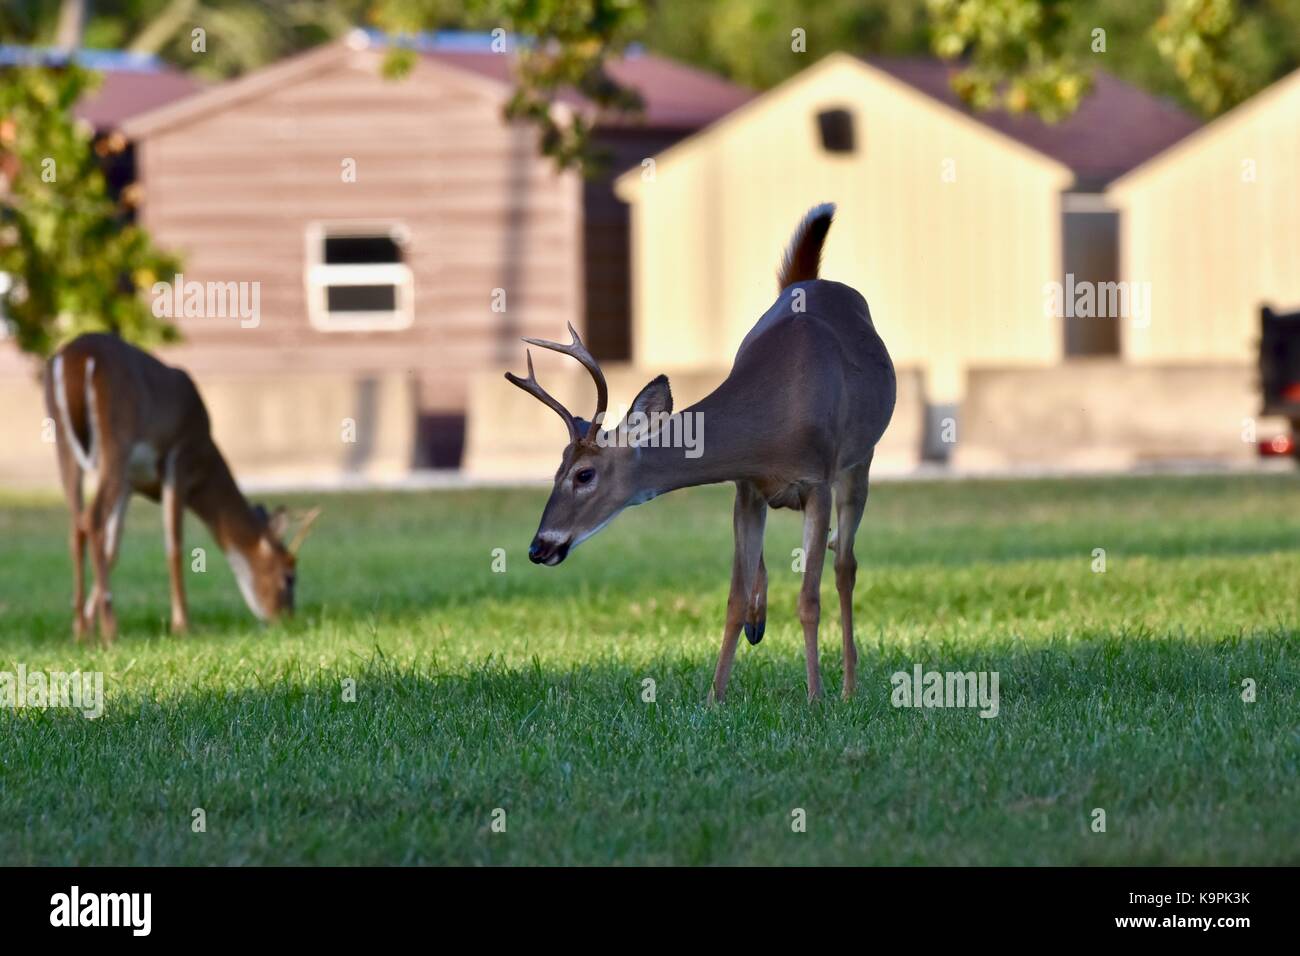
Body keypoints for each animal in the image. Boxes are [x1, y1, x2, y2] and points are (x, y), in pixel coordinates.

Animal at [46, 335, 322, 642]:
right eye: (289, 575)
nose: (285, 618)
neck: (205, 461)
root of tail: (78, 355)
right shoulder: (179, 457)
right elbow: (174, 544)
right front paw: (182, 626)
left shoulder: (131, 483)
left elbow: (113, 548)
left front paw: (85, 622)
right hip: (117, 435)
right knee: (91, 519)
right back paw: (110, 628)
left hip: (63, 440)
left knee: (77, 524)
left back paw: (81, 629)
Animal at [504, 204, 894, 702]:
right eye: (555, 470)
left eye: (584, 474)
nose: (539, 547)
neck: (776, 422)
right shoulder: (745, 489)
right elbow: (732, 598)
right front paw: (714, 698)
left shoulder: (817, 481)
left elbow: (809, 599)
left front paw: (815, 698)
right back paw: (760, 619)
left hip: (859, 463)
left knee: (846, 567)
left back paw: (847, 686)